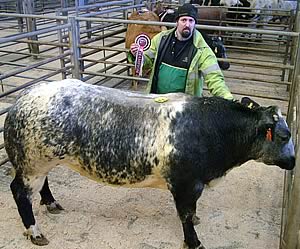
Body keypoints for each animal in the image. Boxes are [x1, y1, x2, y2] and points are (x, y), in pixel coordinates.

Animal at [4, 79, 296, 247]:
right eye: (284, 136)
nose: (293, 161)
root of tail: (23, 98)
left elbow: (191, 213)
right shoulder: (185, 184)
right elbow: (185, 216)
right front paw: (194, 242)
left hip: (42, 162)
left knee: (42, 185)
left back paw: (51, 203)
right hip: (31, 165)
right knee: (19, 193)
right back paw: (35, 232)